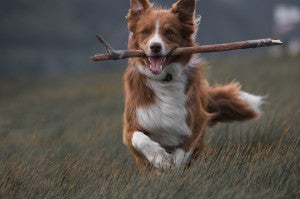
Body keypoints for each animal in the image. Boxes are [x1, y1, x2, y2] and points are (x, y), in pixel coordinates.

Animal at [122, 0, 262, 171]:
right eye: (145, 31)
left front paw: (173, 166)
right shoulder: (131, 125)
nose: (155, 46)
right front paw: (161, 158)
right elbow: (139, 138)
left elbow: (183, 150)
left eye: (169, 32)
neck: (164, 80)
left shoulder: (195, 120)